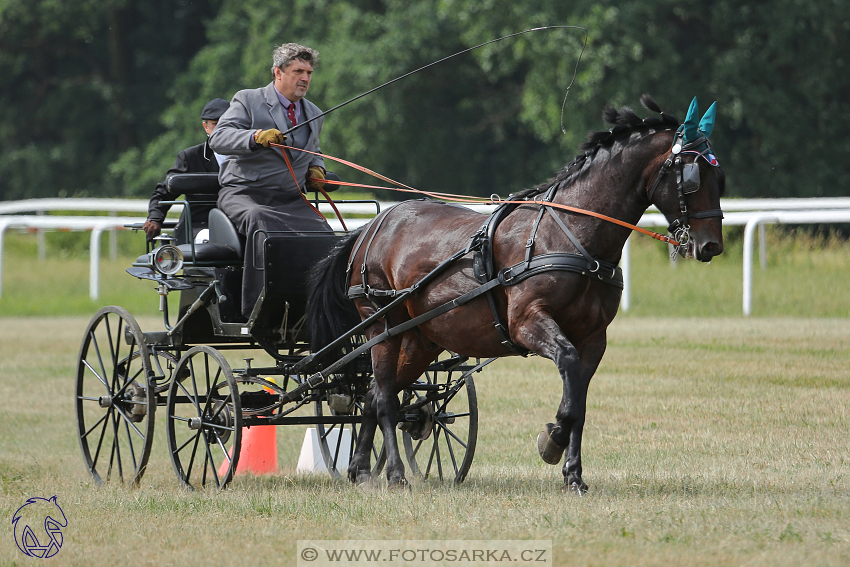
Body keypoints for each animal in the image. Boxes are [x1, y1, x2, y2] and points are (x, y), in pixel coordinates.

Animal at [304, 95, 724, 490]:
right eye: (691, 177)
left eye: (719, 177)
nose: (711, 246)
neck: (572, 235)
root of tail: (373, 226)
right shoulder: (527, 323)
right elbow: (567, 372)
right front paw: (552, 440)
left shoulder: (594, 338)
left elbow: (579, 401)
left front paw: (573, 475)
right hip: (381, 328)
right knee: (385, 397)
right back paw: (393, 474)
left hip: (420, 338)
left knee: (375, 394)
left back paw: (360, 470)